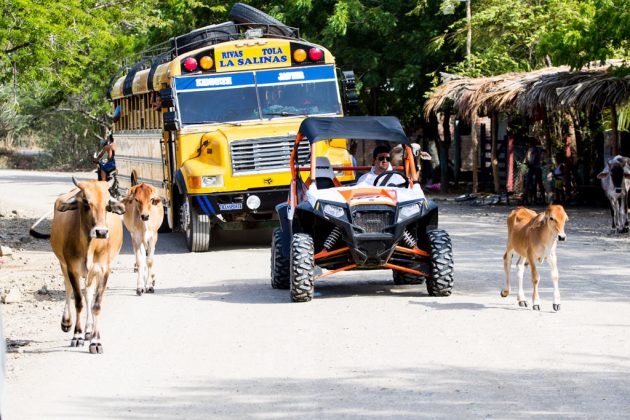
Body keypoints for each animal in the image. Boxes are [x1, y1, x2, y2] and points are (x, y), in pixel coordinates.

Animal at [50, 177, 126, 354]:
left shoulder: (103, 270)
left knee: (89, 294)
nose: (102, 232)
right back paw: (67, 322)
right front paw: (76, 336)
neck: (90, 245)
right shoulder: (72, 269)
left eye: (107, 203)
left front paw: (95, 341)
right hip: (63, 265)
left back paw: (89, 330)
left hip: (91, 274)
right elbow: (78, 301)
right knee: (68, 289)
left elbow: (96, 304)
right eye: (85, 202)